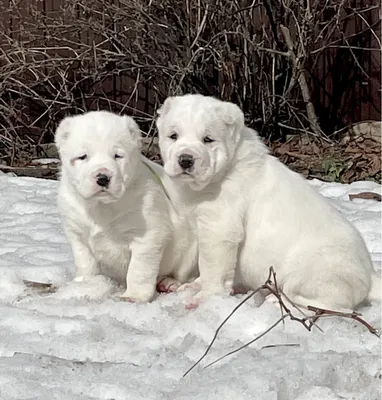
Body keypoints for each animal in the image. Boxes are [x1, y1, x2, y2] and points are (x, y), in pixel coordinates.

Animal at [55, 111, 198, 302]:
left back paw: (170, 282)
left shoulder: (148, 236)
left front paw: (134, 296)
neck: (102, 208)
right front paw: (86, 286)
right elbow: (86, 263)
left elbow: (138, 270)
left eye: (117, 156)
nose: (103, 177)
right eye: (83, 156)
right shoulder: (77, 235)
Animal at [156, 94, 382, 310]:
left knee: (330, 307)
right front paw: (195, 285)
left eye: (208, 139)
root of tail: (371, 277)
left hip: (309, 274)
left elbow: (212, 268)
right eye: (173, 136)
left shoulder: (218, 230)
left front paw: (205, 298)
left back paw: (278, 300)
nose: (186, 160)